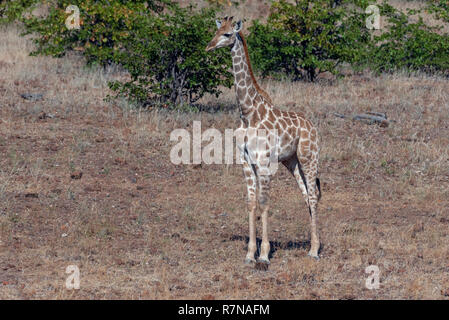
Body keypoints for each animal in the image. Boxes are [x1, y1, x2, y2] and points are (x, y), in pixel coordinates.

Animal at [205, 16, 320, 264]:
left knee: (314, 195)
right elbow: (251, 202)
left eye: (227, 34)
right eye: (215, 31)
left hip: (310, 158)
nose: (209, 46)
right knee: (306, 195)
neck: (248, 113)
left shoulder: (265, 161)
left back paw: (315, 251)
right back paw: (310, 245)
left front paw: (265, 254)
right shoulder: (246, 161)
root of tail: (313, 127)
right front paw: (250, 254)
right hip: (291, 161)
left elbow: (265, 202)